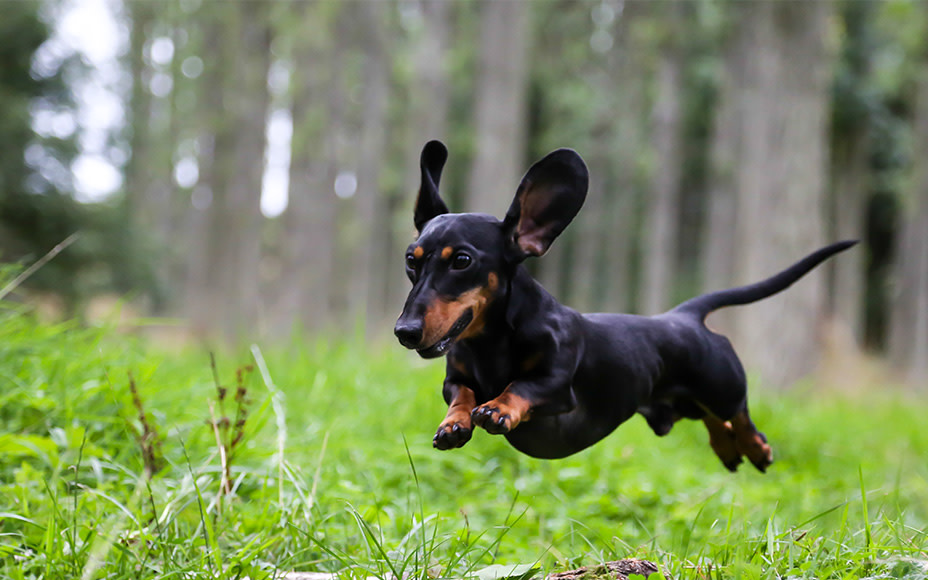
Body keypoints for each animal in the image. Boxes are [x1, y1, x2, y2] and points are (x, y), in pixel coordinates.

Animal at [394, 140, 856, 472]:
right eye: (410, 261)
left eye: (462, 260)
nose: (405, 332)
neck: (491, 342)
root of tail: (683, 316)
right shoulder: (455, 378)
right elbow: (462, 393)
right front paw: (454, 422)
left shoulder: (557, 385)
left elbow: (521, 387)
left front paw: (498, 408)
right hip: (686, 401)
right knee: (712, 418)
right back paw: (728, 450)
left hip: (721, 384)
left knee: (738, 412)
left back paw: (756, 448)